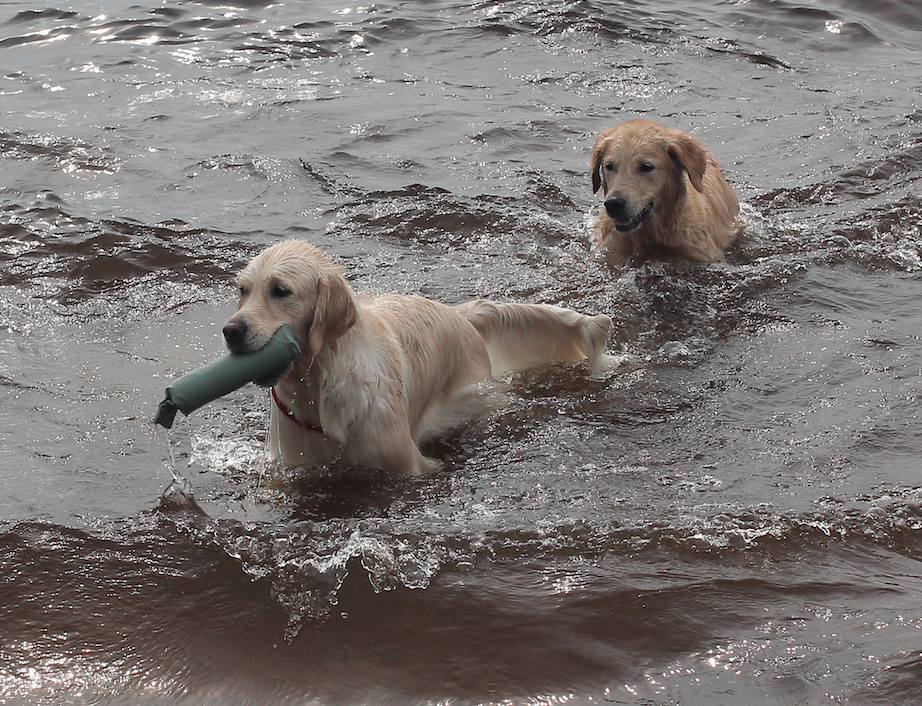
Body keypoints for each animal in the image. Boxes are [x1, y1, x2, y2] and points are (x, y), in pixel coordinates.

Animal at [222, 239, 612, 476]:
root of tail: (459, 313)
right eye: (243, 290)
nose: (231, 331)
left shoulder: (407, 464)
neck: (319, 391)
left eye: (280, 291)